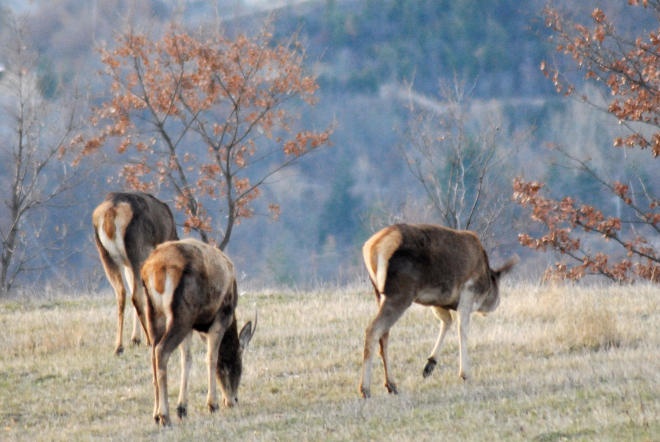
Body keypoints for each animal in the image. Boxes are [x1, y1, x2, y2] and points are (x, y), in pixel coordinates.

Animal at [91, 192, 178, 354]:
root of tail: (112, 213)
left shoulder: (128, 266)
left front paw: (135, 338)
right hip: (139, 250)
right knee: (136, 296)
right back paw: (150, 340)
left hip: (106, 254)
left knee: (122, 292)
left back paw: (119, 346)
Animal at [141, 240, 256, 426]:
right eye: (238, 364)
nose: (233, 400)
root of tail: (156, 270)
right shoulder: (221, 316)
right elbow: (212, 357)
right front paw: (212, 405)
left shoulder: (192, 327)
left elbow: (187, 359)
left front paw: (182, 408)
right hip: (183, 313)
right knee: (162, 350)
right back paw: (165, 416)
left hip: (154, 313)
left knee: (153, 353)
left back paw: (156, 415)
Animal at [358, 223, 520, 398]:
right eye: (497, 283)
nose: (496, 303)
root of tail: (372, 248)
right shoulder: (468, 292)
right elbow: (462, 328)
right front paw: (465, 374)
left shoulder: (438, 301)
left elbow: (446, 322)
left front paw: (429, 365)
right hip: (400, 293)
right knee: (373, 329)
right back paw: (365, 389)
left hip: (379, 294)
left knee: (385, 333)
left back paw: (391, 385)